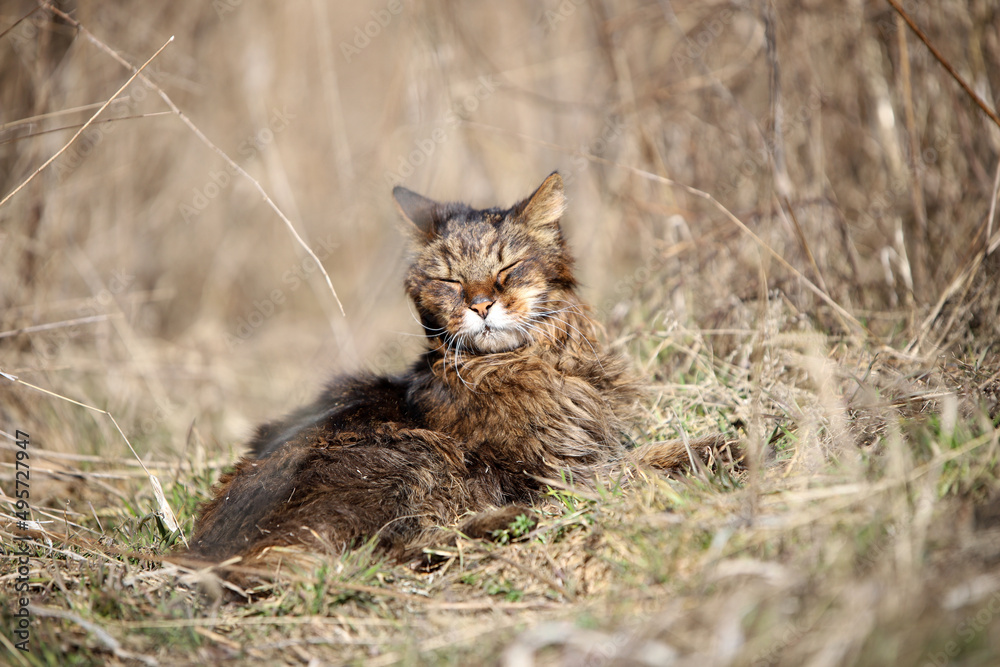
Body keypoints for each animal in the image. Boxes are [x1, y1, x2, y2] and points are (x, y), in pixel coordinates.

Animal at [188, 175, 696, 572]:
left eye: (507, 268)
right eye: (449, 281)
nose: (481, 305)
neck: (528, 363)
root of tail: (205, 553)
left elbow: (646, 453)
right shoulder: (549, 472)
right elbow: (640, 465)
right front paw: (710, 450)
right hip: (409, 452)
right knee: (375, 555)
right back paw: (502, 522)